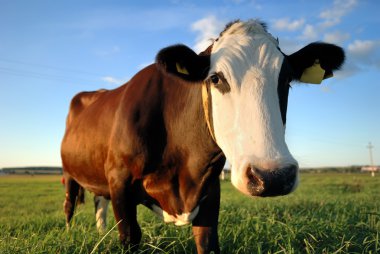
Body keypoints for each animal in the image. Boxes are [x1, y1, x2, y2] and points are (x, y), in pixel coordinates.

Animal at [61, 18, 344, 253]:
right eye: (216, 78)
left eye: (286, 80)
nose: (273, 177)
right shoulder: (119, 182)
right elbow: (129, 236)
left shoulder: (210, 190)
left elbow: (207, 243)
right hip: (69, 174)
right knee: (69, 206)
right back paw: (69, 232)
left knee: (99, 202)